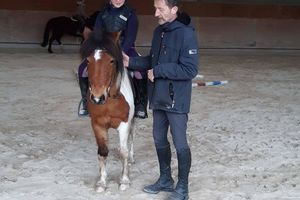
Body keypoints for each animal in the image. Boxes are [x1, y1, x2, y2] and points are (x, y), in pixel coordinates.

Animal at [80, 30, 135, 192]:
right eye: (88, 61)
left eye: (111, 61)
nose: (97, 98)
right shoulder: (97, 124)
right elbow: (103, 152)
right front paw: (102, 182)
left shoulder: (124, 123)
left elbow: (123, 151)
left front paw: (124, 181)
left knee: (131, 136)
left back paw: (132, 158)